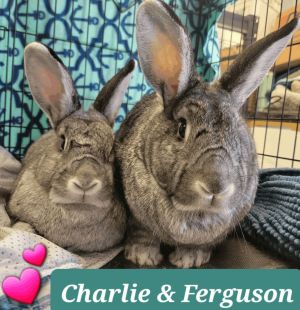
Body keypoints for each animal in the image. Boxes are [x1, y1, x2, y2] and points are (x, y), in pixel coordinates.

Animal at [115, 0, 300, 268]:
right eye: (182, 128)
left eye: (239, 133)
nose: (216, 186)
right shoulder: (137, 218)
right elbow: (142, 232)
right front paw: (142, 256)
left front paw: (190, 259)